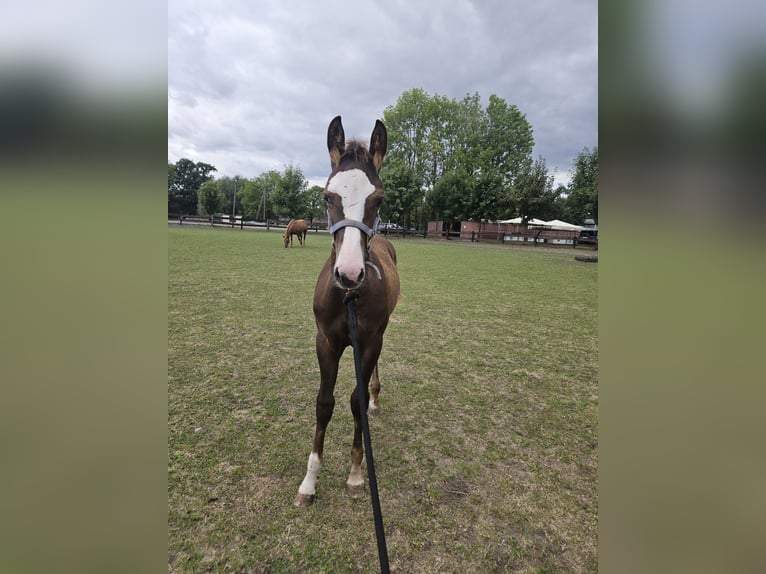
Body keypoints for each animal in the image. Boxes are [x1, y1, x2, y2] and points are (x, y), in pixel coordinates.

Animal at [295, 116, 400, 506]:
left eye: (379, 198)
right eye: (327, 196)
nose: (350, 273)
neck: (349, 298)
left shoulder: (368, 343)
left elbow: (356, 401)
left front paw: (356, 474)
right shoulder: (326, 342)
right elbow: (324, 403)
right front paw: (309, 482)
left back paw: (375, 398)